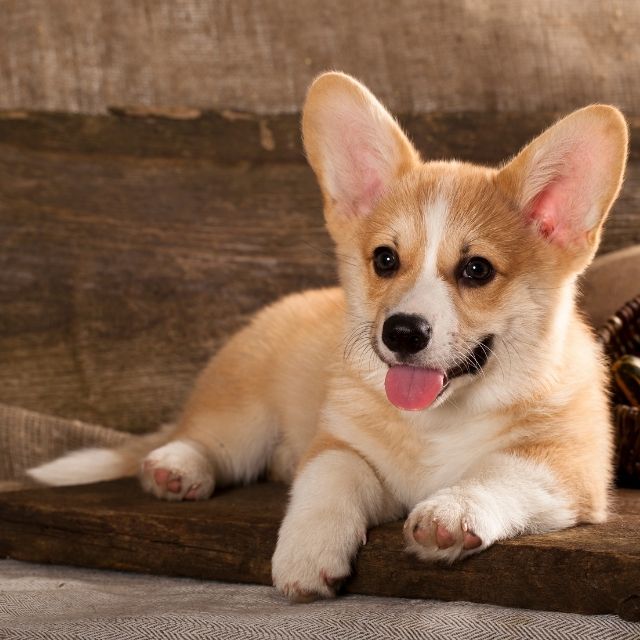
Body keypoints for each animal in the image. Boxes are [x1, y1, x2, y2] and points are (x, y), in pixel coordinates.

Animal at [28, 72, 624, 604]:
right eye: (385, 259)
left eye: (476, 270)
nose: (402, 332)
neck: (437, 421)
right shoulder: (338, 442)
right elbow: (329, 478)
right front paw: (306, 555)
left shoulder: (567, 468)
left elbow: (498, 471)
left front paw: (450, 512)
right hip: (245, 417)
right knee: (207, 440)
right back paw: (175, 469)